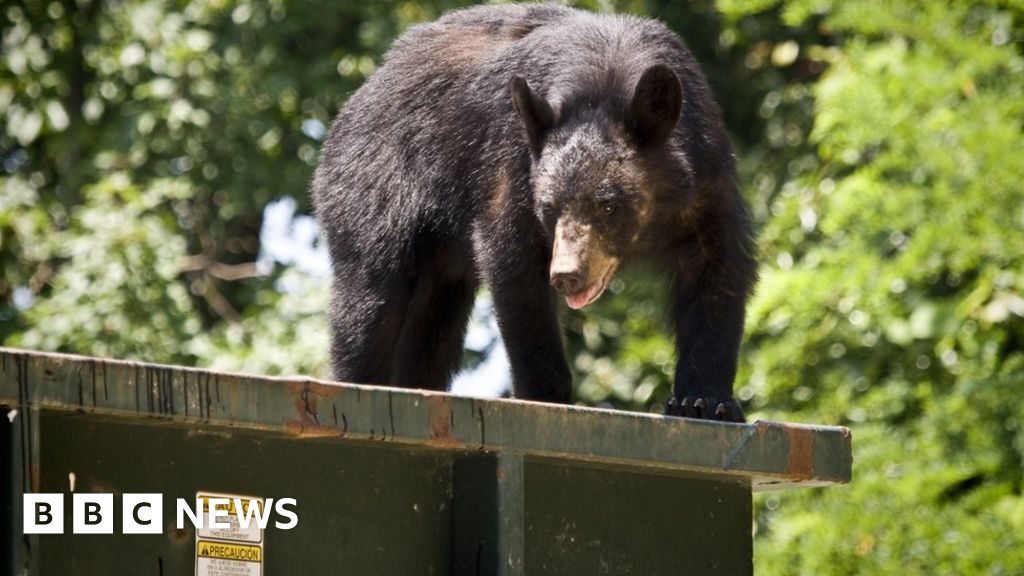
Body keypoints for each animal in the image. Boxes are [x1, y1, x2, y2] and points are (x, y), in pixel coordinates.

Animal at [312, 4, 757, 421]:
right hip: (374, 185)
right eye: (548, 208)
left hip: (439, 266)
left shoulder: (707, 174)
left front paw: (705, 401)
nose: (566, 275)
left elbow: (718, 269)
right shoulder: (512, 165)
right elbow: (515, 267)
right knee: (373, 300)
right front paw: (547, 395)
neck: (607, 82)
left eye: (608, 204)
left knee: (431, 329)